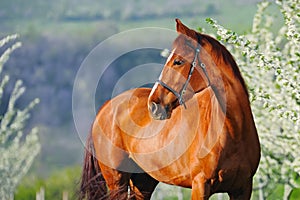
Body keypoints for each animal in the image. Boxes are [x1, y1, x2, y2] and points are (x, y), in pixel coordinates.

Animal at [80, 19, 260, 200]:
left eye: (178, 61)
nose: (153, 105)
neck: (234, 132)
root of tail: (105, 107)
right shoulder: (200, 186)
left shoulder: (243, 189)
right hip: (117, 182)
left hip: (143, 182)